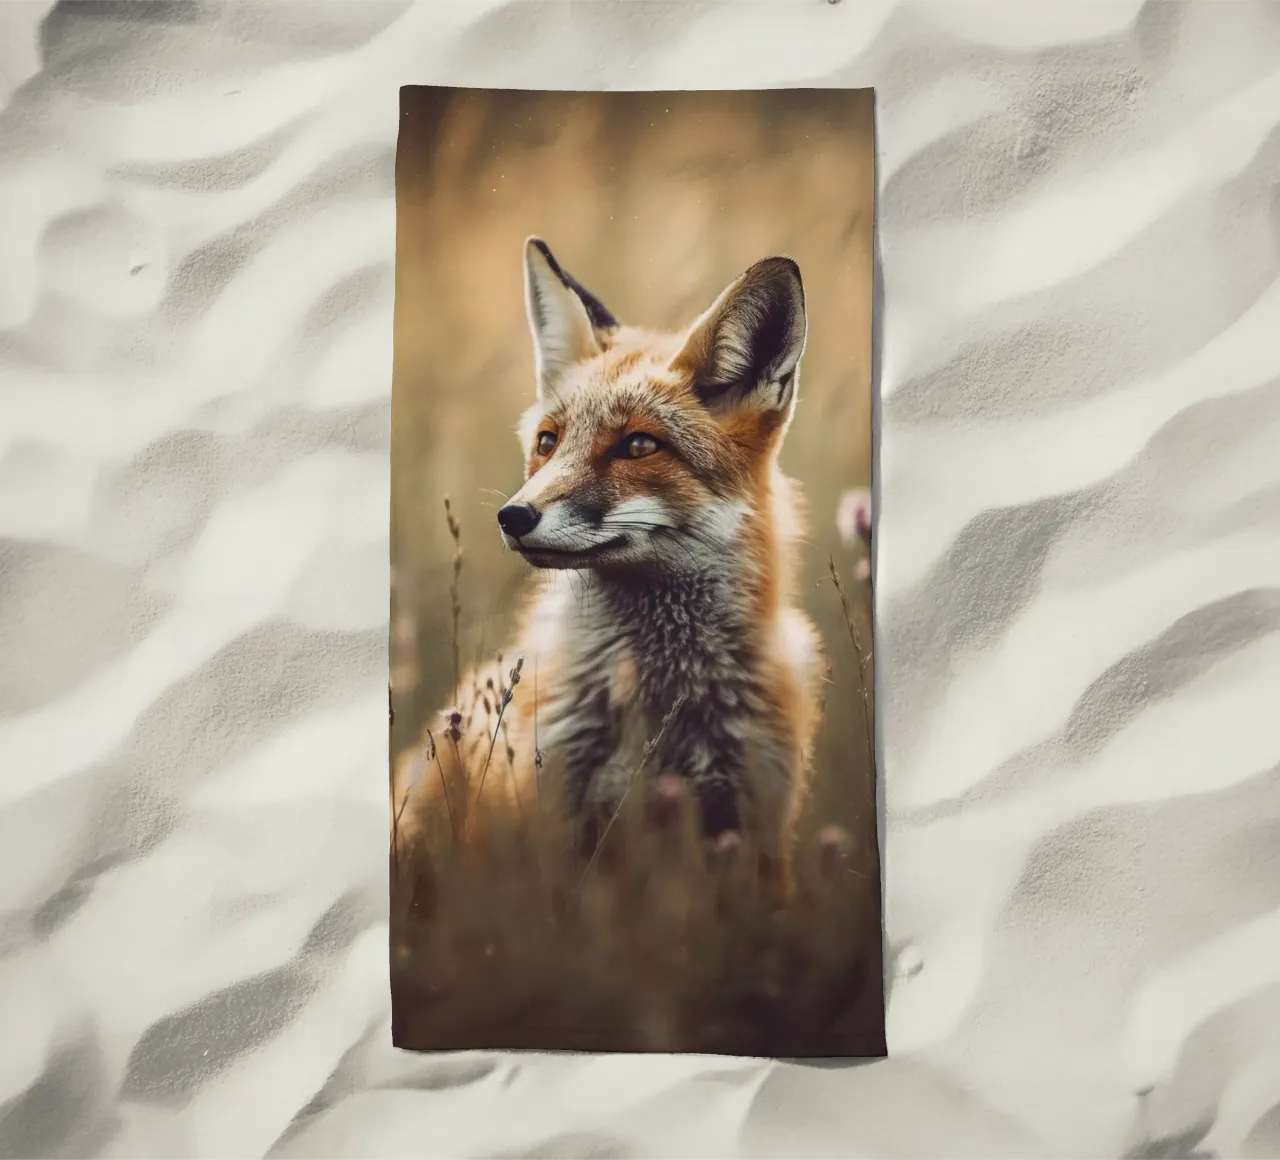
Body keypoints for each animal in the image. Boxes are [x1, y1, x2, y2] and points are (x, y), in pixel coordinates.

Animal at [402, 236, 825, 869]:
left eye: (639, 446)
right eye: (548, 442)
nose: (513, 517)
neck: (660, 707)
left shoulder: (754, 828)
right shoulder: (557, 822)